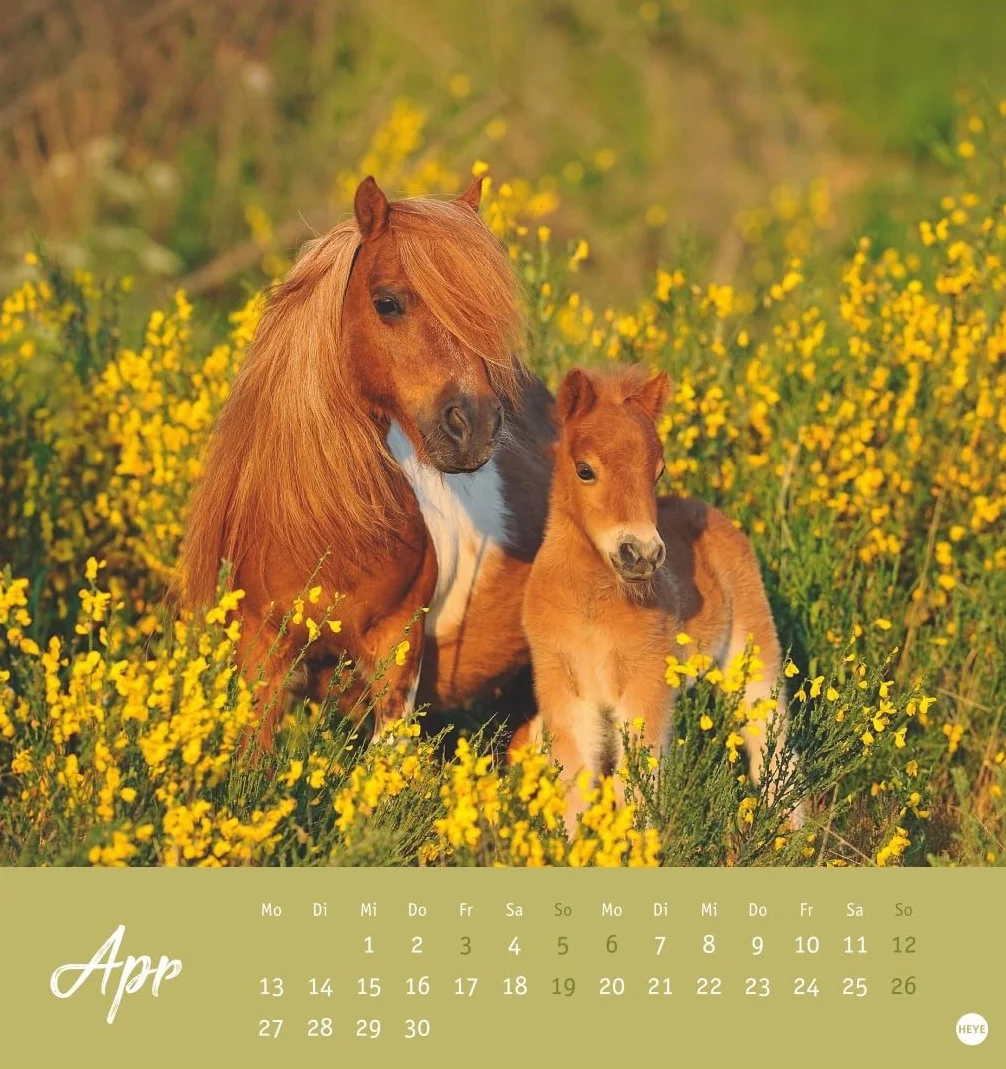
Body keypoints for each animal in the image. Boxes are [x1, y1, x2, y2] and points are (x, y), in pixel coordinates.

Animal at [518, 365, 800, 829]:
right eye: (584, 470)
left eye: (658, 472)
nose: (642, 554)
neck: (591, 607)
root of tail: (710, 512)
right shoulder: (563, 687)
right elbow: (575, 784)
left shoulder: (644, 683)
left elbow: (637, 787)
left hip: (753, 651)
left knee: (772, 743)